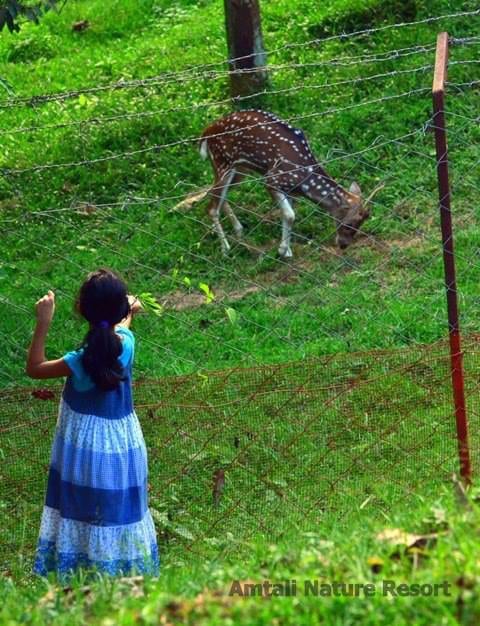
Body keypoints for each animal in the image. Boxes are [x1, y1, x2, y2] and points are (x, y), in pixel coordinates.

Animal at [199, 111, 378, 258]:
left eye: (361, 224)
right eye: (349, 224)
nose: (343, 245)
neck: (304, 181)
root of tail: (206, 133)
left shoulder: (290, 191)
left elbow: (288, 215)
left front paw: (287, 250)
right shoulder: (272, 179)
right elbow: (290, 215)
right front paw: (282, 250)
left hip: (239, 169)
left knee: (216, 194)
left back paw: (239, 231)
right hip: (223, 163)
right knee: (211, 207)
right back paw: (225, 249)